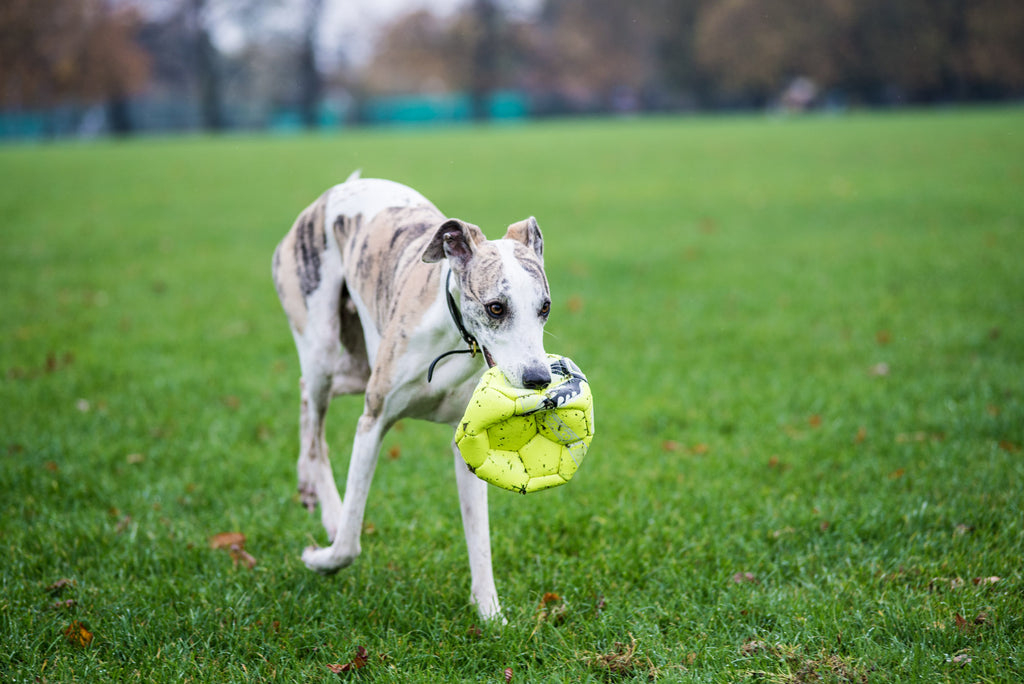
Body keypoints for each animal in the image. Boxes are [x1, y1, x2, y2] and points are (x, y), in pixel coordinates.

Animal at [272, 172, 552, 618]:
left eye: (544, 307)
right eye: (495, 307)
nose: (539, 378)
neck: (453, 336)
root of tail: (339, 188)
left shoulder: (469, 442)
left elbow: (480, 540)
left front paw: (491, 614)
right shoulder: (372, 421)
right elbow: (349, 542)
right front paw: (321, 559)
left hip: (356, 366)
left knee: (306, 402)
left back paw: (307, 485)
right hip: (322, 344)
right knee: (316, 429)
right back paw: (330, 511)